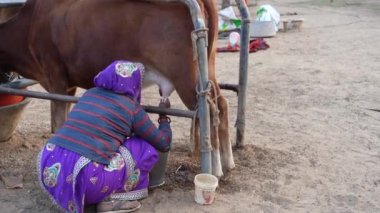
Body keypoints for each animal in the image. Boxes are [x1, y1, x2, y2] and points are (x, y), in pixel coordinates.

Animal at [0, 0, 235, 176]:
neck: (29, 25)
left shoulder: (55, 76)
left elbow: (58, 122)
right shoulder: (68, 85)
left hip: (186, 76)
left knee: (210, 109)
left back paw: (215, 169)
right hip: (207, 69)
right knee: (221, 103)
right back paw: (228, 161)